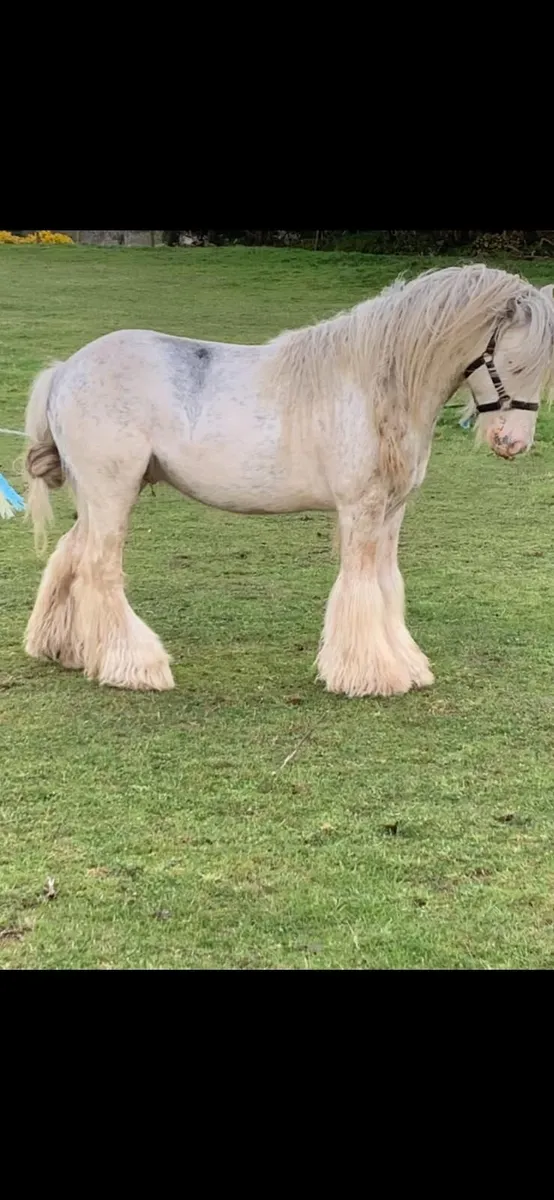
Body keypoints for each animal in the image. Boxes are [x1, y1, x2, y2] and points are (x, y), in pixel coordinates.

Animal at [23, 264, 554, 698]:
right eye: (513, 362)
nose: (513, 443)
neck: (374, 385)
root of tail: (65, 370)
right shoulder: (361, 508)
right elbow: (360, 586)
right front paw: (370, 675)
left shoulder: (391, 510)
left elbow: (386, 584)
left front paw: (406, 665)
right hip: (112, 492)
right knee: (99, 569)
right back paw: (135, 667)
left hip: (96, 497)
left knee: (70, 555)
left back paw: (64, 648)